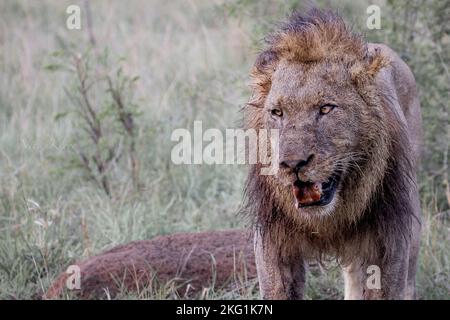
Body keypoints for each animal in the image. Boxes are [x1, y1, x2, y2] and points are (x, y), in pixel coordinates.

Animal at [243, 10, 422, 300]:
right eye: (277, 113)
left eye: (326, 108)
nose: (292, 164)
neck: (330, 219)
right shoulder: (273, 243)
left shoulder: (390, 243)